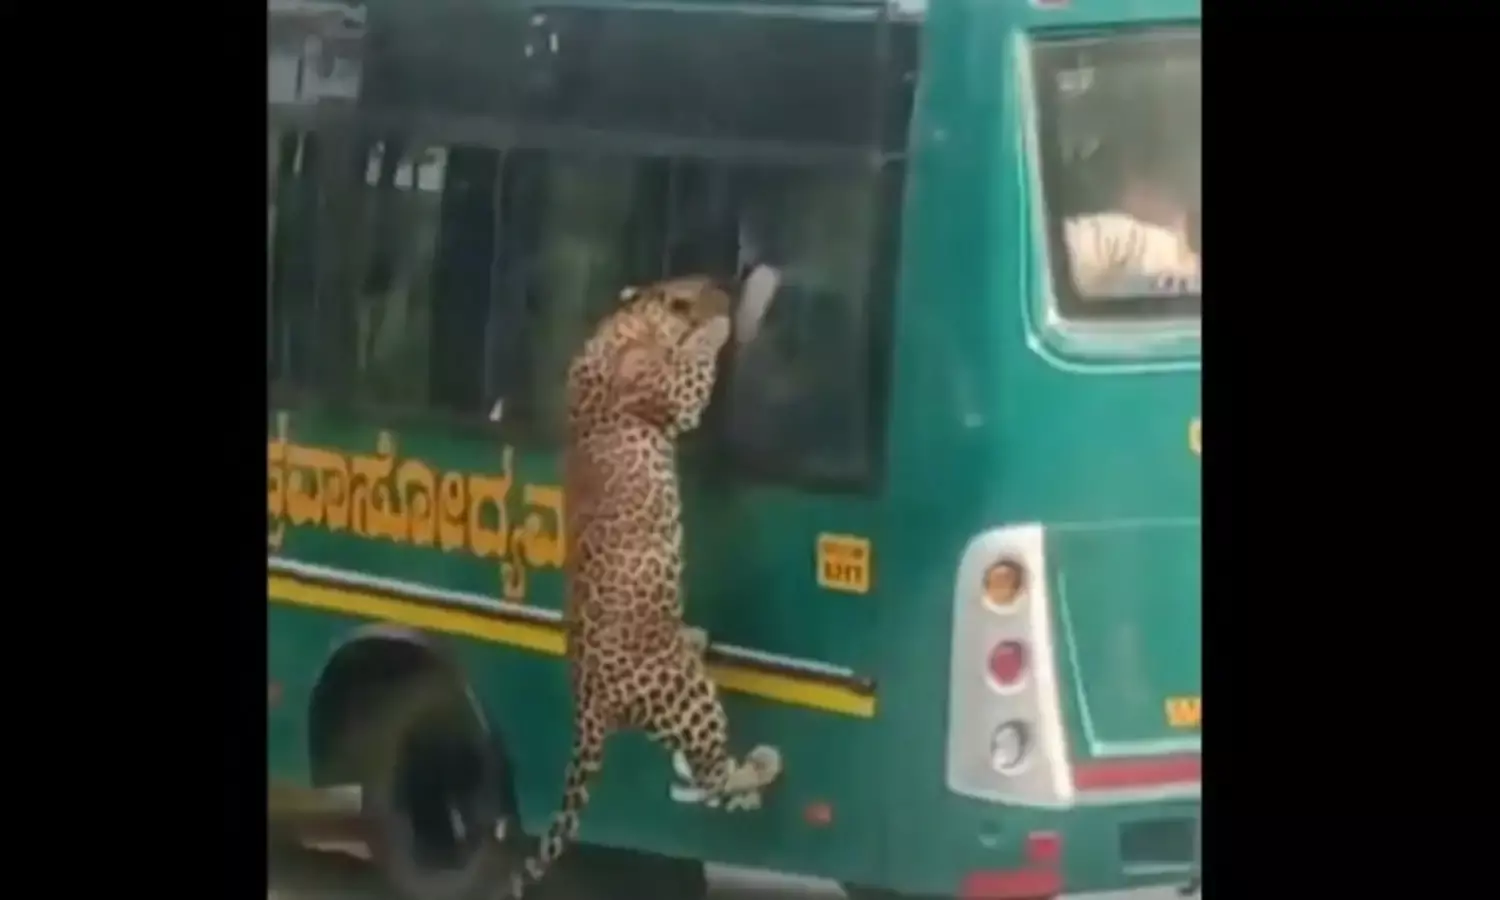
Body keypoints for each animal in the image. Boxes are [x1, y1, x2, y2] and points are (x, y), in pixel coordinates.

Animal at [504, 275, 783, 898]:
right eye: (697, 290)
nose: (725, 287)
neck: (623, 323)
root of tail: (588, 706)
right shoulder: (672, 394)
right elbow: (693, 367)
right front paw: (717, 325)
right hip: (688, 695)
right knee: (711, 774)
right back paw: (761, 764)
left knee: (705, 773)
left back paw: (698, 641)